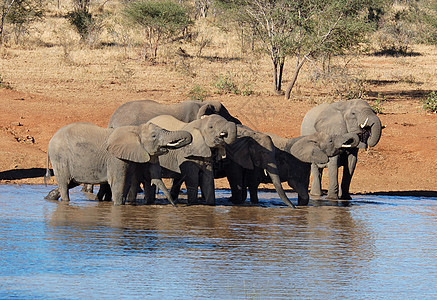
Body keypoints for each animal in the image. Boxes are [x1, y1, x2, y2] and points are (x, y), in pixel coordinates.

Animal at [43, 120, 192, 205]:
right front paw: (118, 206)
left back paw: (49, 197)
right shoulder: (115, 158)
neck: (135, 130)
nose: (175, 205)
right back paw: (64, 202)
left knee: (71, 182)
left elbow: (127, 183)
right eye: (154, 136)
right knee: (64, 183)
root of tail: (50, 141)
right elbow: (119, 183)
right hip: (60, 158)